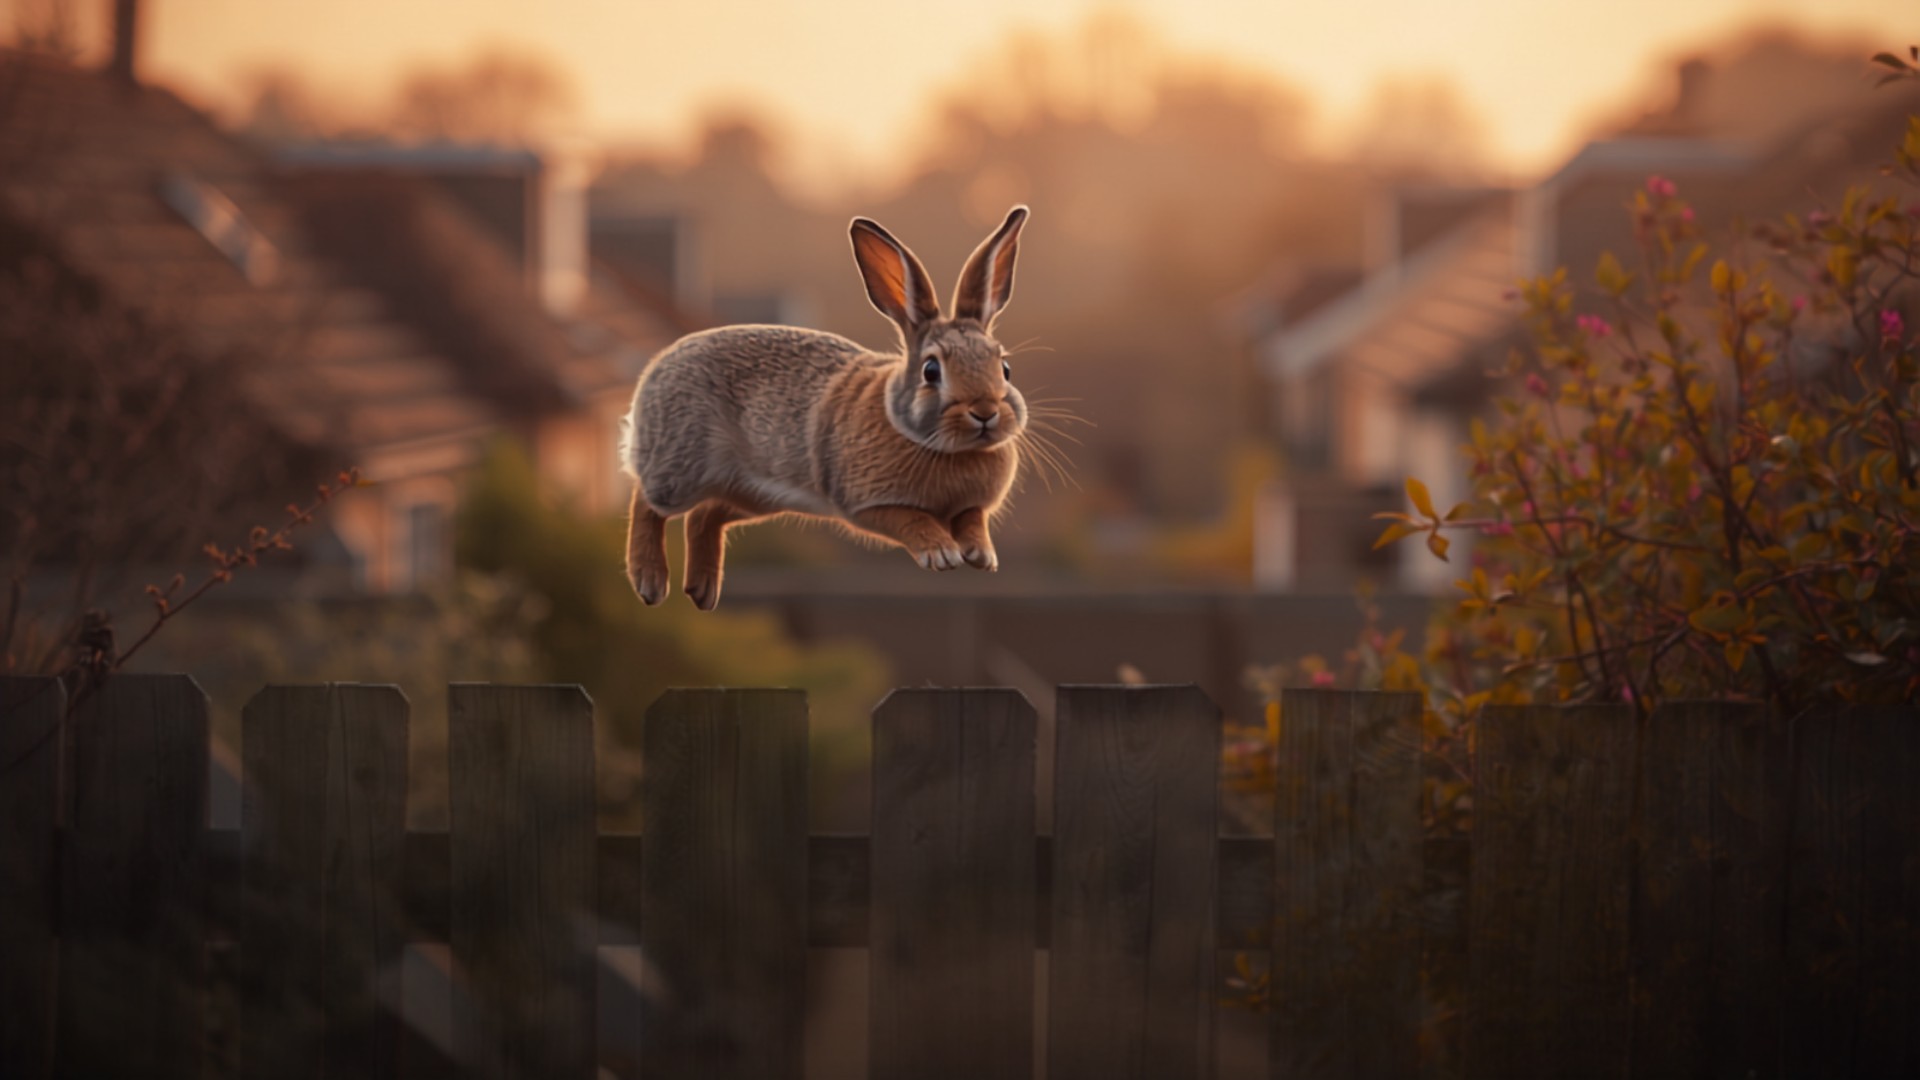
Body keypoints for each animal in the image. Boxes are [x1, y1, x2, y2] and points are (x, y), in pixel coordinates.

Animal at [619, 205, 1033, 610]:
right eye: (931, 371)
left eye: (1004, 368)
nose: (985, 411)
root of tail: (655, 369)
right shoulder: (870, 503)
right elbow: (912, 520)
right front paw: (942, 553)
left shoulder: (970, 507)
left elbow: (972, 520)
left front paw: (981, 555)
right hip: (683, 468)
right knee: (647, 500)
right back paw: (649, 582)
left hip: (754, 495)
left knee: (703, 516)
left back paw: (703, 592)